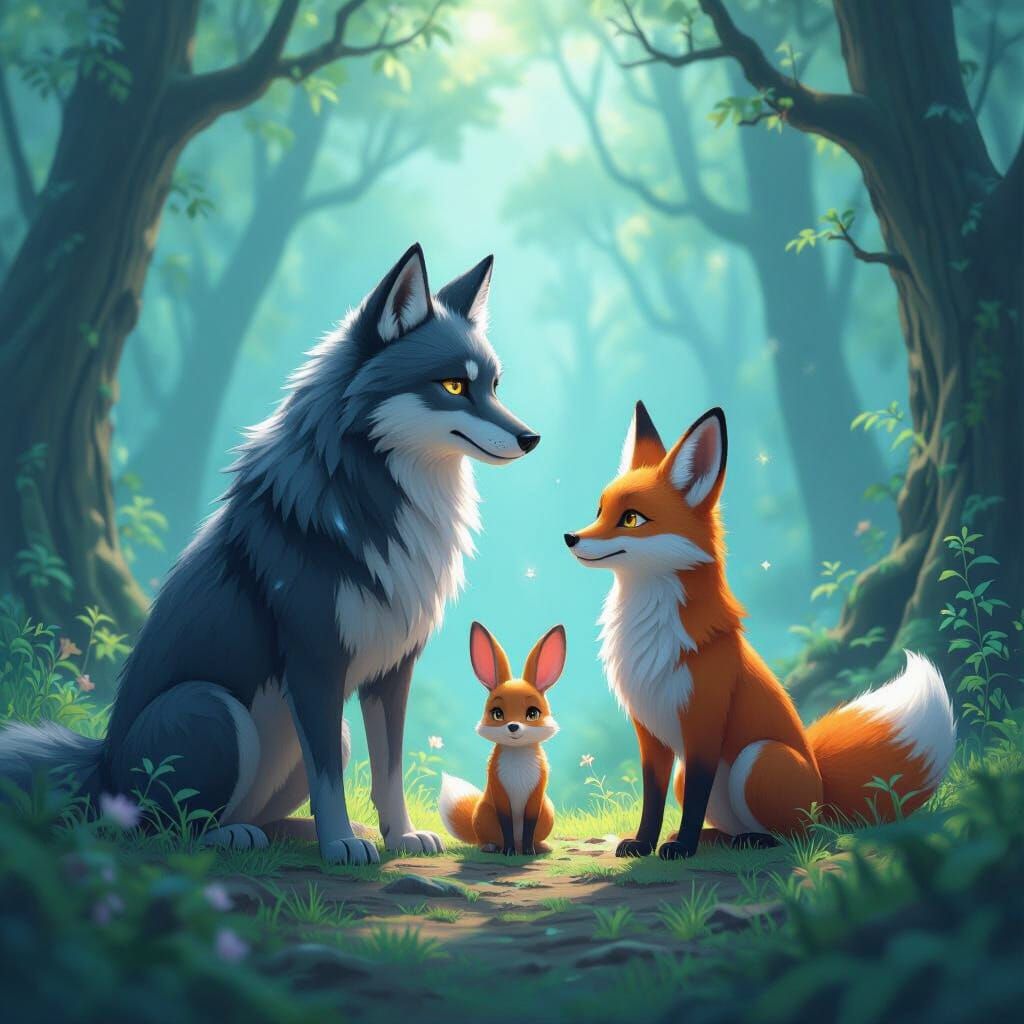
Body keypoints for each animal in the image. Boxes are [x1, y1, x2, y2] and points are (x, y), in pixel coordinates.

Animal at [0, 244, 541, 865]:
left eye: (494, 385)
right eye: (453, 386)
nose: (531, 438)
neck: (379, 500)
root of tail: (102, 766)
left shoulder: (393, 670)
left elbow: (389, 768)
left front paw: (400, 836)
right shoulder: (314, 663)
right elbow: (330, 778)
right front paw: (341, 845)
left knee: (262, 813)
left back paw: (292, 832)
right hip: (210, 708)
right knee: (161, 826)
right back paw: (234, 836)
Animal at [438, 622, 565, 855]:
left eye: (532, 713)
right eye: (497, 714)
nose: (513, 726)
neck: (518, 762)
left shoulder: (536, 796)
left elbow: (529, 825)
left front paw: (528, 852)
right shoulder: (499, 791)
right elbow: (505, 823)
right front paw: (509, 852)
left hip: (547, 811)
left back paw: (539, 846)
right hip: (485, 813)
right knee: (486, 839)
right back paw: (492, 847)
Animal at [565, 402, 955, 860]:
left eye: (631, 518)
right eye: (599, 512)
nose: (570, 537)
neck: (650, 633)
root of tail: (822, 790)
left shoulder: (704, 725)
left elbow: (694, 799)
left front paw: (682, 848)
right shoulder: (649, 733)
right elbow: (653, 799)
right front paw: (645, 844)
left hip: (759, 760)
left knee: (799, 834)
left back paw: (751, 840)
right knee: (734, 825)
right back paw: (718, 839)